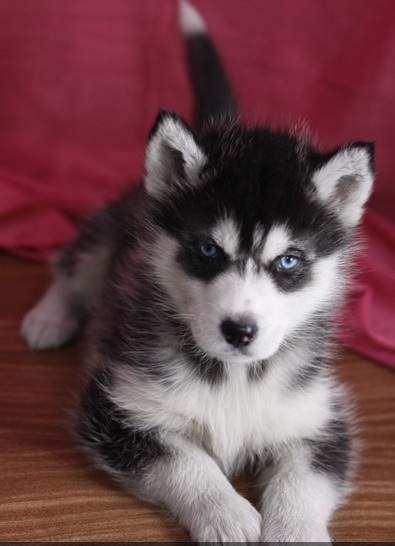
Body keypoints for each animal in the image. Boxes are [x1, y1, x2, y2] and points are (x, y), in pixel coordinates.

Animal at [21, 2, 374, 540]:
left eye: (288, 261)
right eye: (207, 249)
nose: (239, 331)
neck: (234, 376)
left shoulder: (319, 420)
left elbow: (302, 482)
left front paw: (294, 531)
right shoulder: (118, 408)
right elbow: (187, 462)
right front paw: (227, 514)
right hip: (113, 231)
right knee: (76, 264)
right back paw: (50, 318)